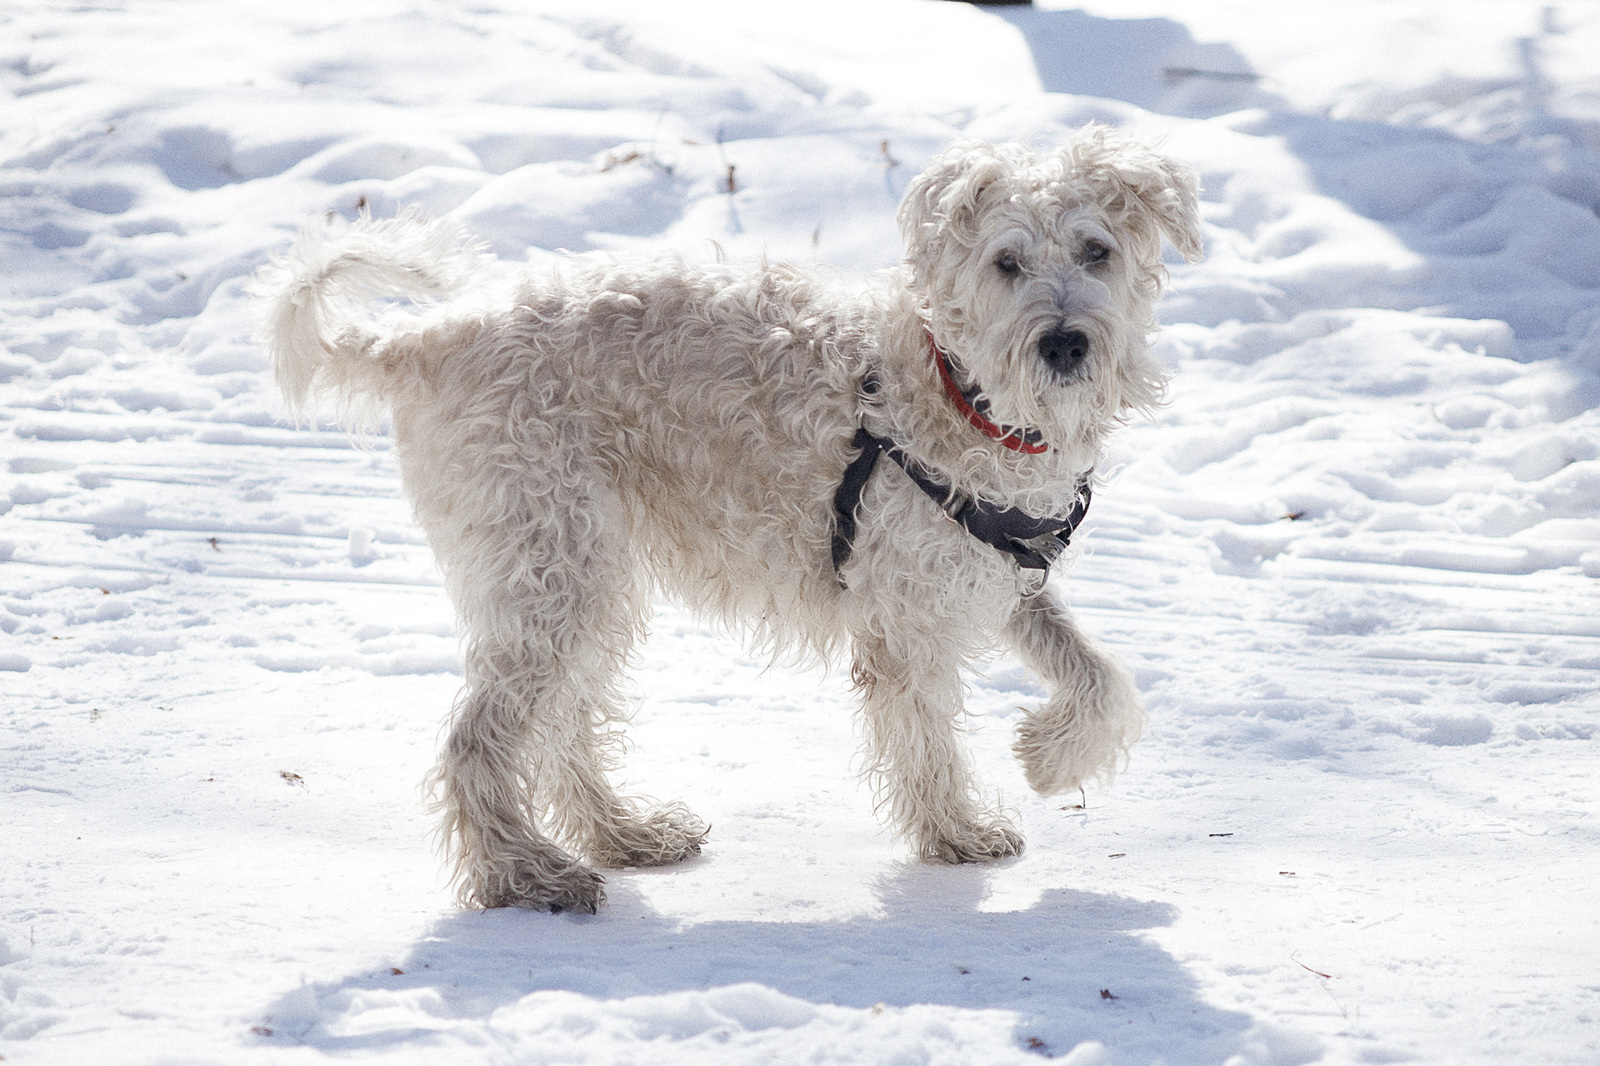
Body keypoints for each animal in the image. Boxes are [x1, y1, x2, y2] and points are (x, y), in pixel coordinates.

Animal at [252, 122, 1203, 902]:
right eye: (1007, 262)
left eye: (1096, 249)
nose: (1066, 343)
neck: (957, 390)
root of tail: (421, 341)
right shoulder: (905, 611)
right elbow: (925, 736)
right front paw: (957, 831)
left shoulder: (995, 571)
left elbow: (1102, 677)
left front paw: (1048, 756)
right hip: (551, 567)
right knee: (478, 740)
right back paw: (524, 874)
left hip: (582, 580)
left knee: (560, 729)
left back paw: (623, 835)